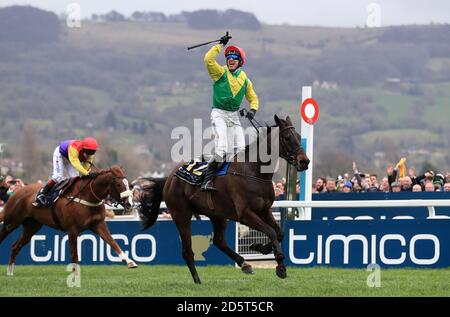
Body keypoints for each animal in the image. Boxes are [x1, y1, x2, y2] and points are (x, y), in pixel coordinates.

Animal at [0, 163, 137, 274]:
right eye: (118, 184)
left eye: (128, 184)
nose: (130, 203)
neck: (87, 196)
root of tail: (17, 192)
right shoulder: (72, 229)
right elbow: (74, 253)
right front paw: (75, 274)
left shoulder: (99, 224)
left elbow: (113, 242)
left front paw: (129, 261)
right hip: (11, 222)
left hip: (32, 226)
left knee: (15, 246)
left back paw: (10, 272)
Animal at [140, 115, 310, 282]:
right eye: (287, 138)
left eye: (299, 137)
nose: (305, 161)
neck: (253, 172)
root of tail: (169, 178)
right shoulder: (245, 214)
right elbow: (271, 232)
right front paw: (280, 266)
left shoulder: (264, 210)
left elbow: (280, 233)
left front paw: (260, 247)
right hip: (181, 215)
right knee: (187, 251)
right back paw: (198, 280)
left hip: (217, 215)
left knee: (219, 241)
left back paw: (244, 264)